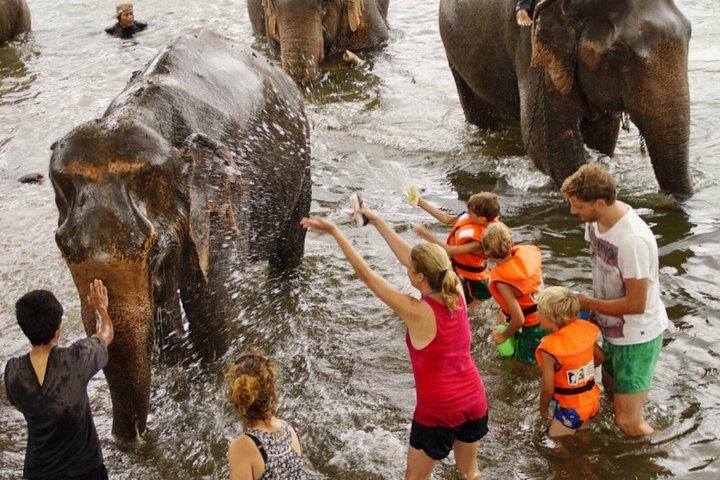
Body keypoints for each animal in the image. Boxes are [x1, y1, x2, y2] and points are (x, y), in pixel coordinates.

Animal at [49, 30, 312, 439]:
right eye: (63, 247)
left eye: (154, 251)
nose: (126, 441)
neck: (142, 116)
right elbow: (164, 318)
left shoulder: (218, 209)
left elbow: (211, 310)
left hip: (302, 167)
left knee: (288, 253)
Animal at [439, 0, 692, 198]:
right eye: (620, 54)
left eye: (689, 34)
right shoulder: (533, 51)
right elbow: (549, 142)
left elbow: (603, 133)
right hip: (455, 58)